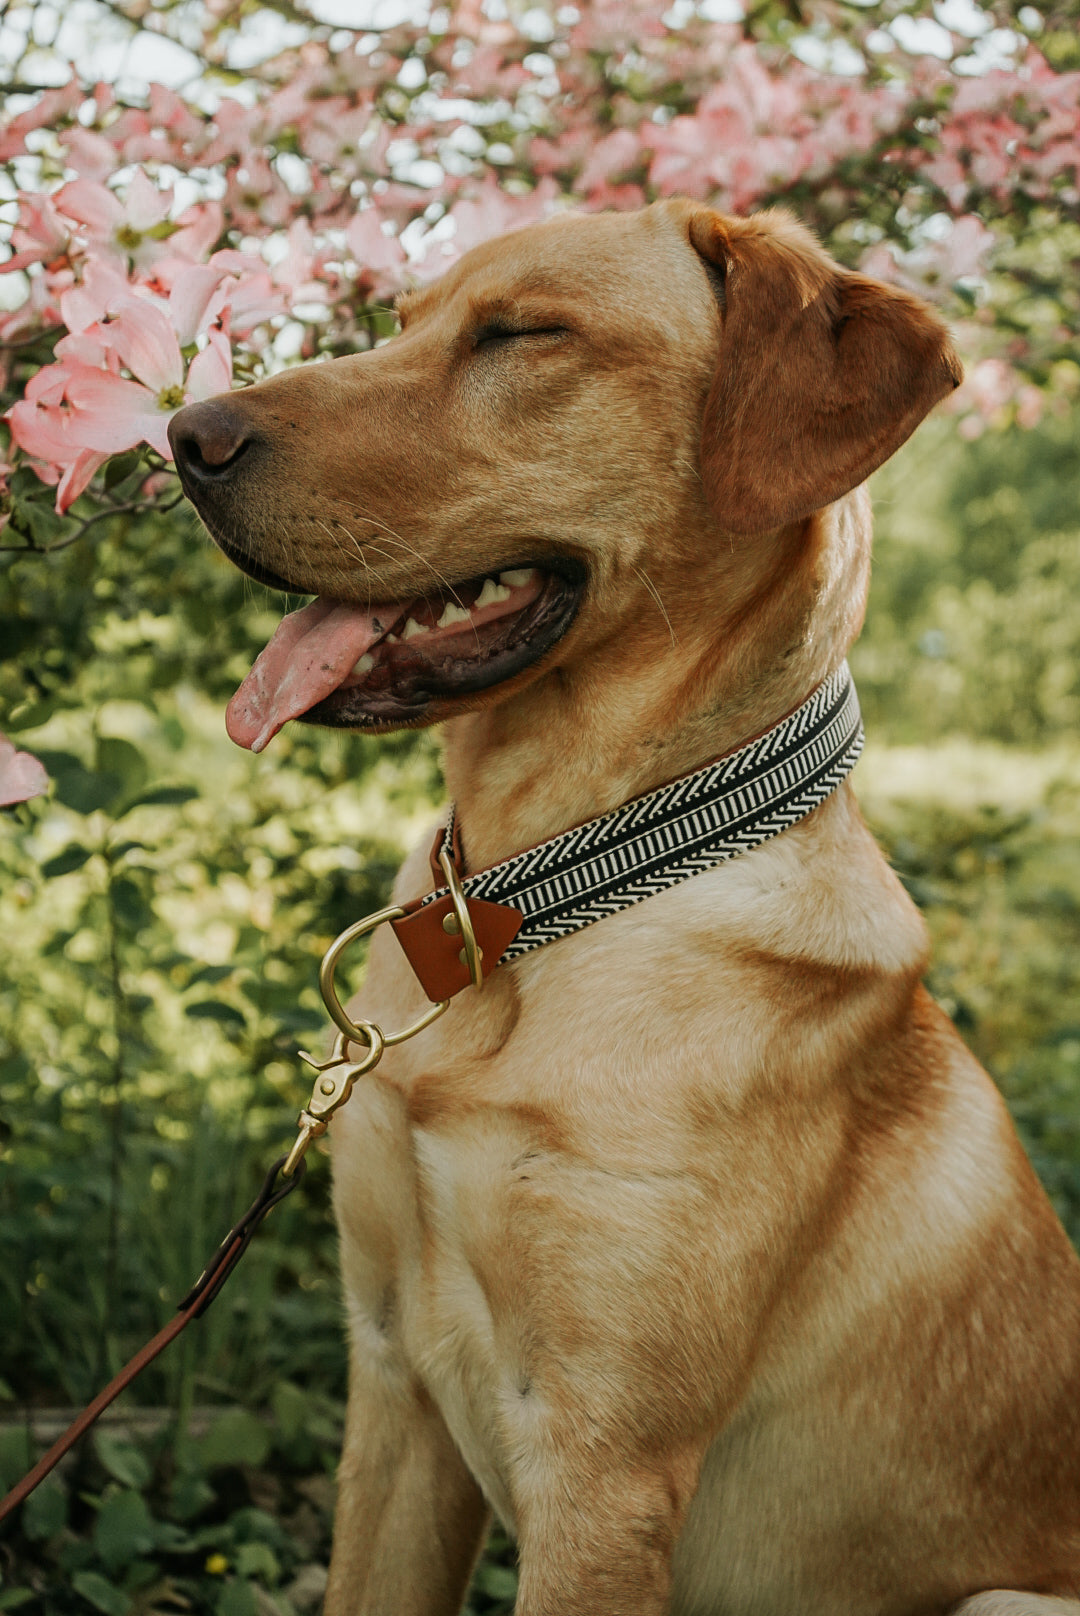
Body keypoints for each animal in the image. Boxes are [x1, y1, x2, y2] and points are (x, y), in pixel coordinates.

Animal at [168, 205, 1080, 1616]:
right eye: (403, 320)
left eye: (524, 333)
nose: (183, 435)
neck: (523, 904)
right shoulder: (391, 1382)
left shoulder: (602, 1466)